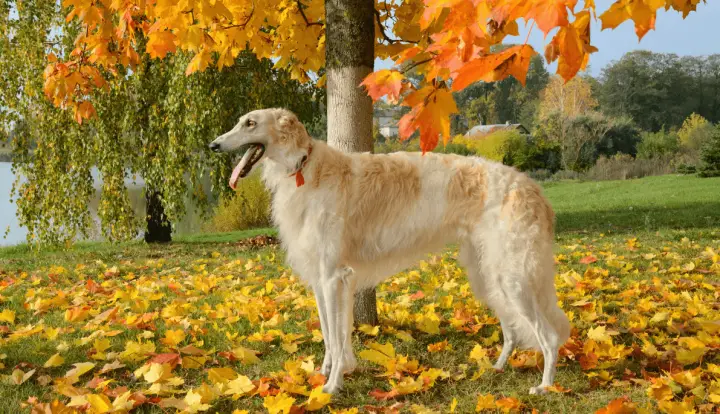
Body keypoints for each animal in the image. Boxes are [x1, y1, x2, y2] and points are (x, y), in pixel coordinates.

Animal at [208, 106, 568, 394]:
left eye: (251, 123)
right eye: (240, 121)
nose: (213, 145)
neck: (306, 168)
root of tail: (534, 189)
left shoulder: (332, 277)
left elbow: (336, 337)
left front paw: (332, 386)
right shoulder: (325, 280)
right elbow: (330, 334)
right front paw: (329, 371)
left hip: (513, 277)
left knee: (550, 337)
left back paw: (545, 386)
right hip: (488, 275)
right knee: (512, 330)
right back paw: (498, 367)